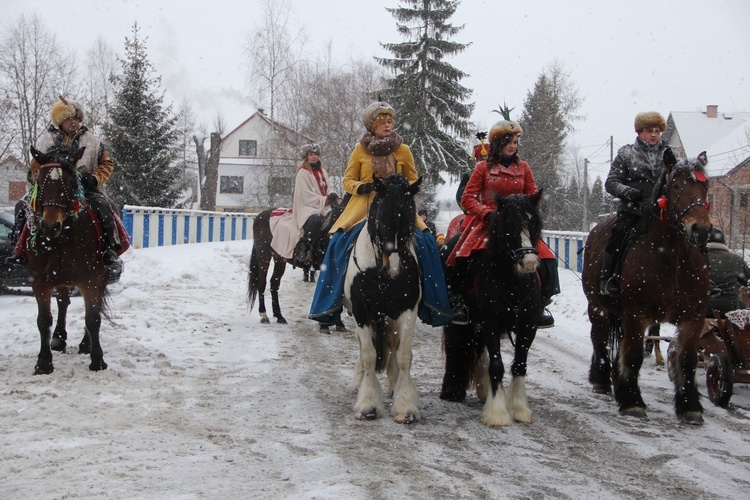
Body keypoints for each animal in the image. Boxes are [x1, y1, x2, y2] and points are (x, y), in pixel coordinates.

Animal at [25, 145, 111, 376]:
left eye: (71, 184)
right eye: (40, 181)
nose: (50, 226)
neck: (62, 237)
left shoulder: (91, 279)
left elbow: (93, 318)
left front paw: (97, 360)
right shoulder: (40, 281)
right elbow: (43, 320)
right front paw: (44, 362)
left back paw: (84, 344)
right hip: (61, 279)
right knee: (63, 302)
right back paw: (58, 340)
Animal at [346, 174, 424, 424]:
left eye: (410, 219)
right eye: (382, 219)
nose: (396, 269)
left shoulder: (407, 310)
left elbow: (404, 355)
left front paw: (405, 404)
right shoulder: (362, 312)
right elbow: (369, 355)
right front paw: (368, 403)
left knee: (392, 345)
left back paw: (393, 385)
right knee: (364, 347)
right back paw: (358, 382)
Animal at [440, 190, 548, 426]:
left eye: (534, 223)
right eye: (509, 225)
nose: (529, 262)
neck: (513, 282)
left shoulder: (528, 324)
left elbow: (520, 364)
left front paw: (518, 408)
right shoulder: (491, 322)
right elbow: (497, 365)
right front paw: (497, 413)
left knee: (478, 347)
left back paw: (483, 390)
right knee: (458, 345)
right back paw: (453, 390)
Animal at [584, 150, 712, 424]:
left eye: (705, 186)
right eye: (676, 186)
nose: (701, 229)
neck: (673, 258)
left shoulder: (693, 319)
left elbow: (687, 360)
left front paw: (690, 406)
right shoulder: (637, 314)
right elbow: (633, 357)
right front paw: (632, 402)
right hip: (597, 308)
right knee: (599, 339)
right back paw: (601, 379)